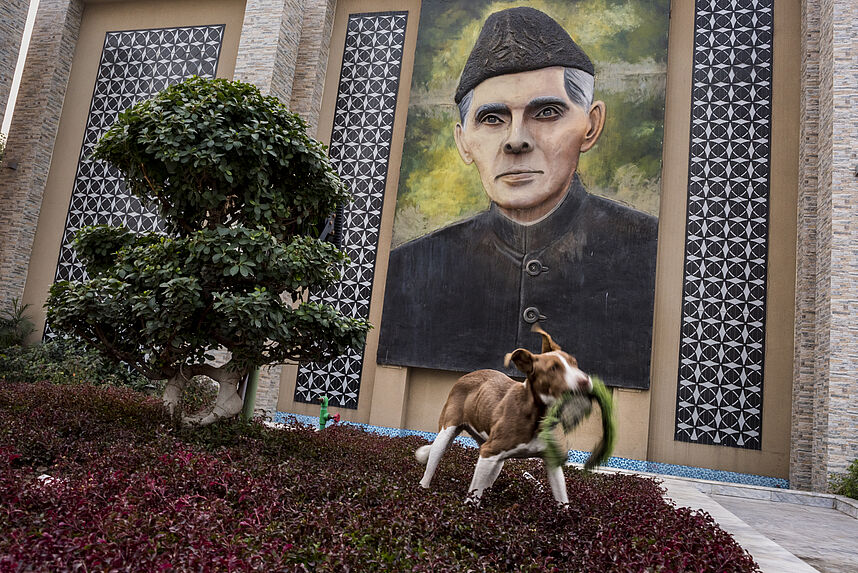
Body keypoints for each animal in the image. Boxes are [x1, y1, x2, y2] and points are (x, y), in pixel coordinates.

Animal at [412, 324, 588, 502]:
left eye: (574, 363)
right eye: (553, 368)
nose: (585, 381)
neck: (538, 416)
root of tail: (468, 375)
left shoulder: (552, 463)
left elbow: (563, 500)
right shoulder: (488, 453)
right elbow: (473, 499)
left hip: (493, 454)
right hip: (446, 434)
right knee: (431, 467)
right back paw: (424, 489)